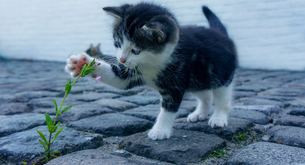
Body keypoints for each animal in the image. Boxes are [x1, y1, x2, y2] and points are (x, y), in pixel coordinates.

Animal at [65, 2, 236, 140]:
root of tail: (222, 35)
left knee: (222, 98)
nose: (121, 59)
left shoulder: (176, 81)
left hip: (221, 75)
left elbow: (168, 108)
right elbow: (117, 78)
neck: (153, 63)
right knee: (206, 95)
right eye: (118, 44)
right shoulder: (132, 73)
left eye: (136, 50)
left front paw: (160, 131)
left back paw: (218, 118)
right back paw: (200, 113)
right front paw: (82, 64)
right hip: (198, 79)